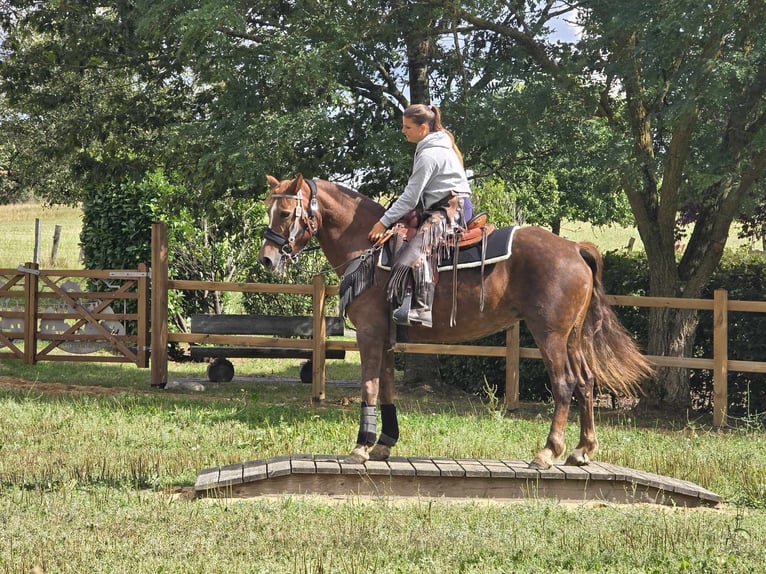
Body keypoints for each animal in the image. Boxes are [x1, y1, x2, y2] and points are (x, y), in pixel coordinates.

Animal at [260, 177, 656, 472]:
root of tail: (574, 248)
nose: (266, 259)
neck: (368, 246)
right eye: (269, 209)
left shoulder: (370, 333)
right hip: (572, 337)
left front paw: (361, 446)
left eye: (285, 212)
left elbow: (370, 385)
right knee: (586, 382)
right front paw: (385, 443)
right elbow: (387, 386)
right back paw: (582, 449)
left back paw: (547, 452)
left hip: (550, 335)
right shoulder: (386, 336)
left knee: (565, 384)